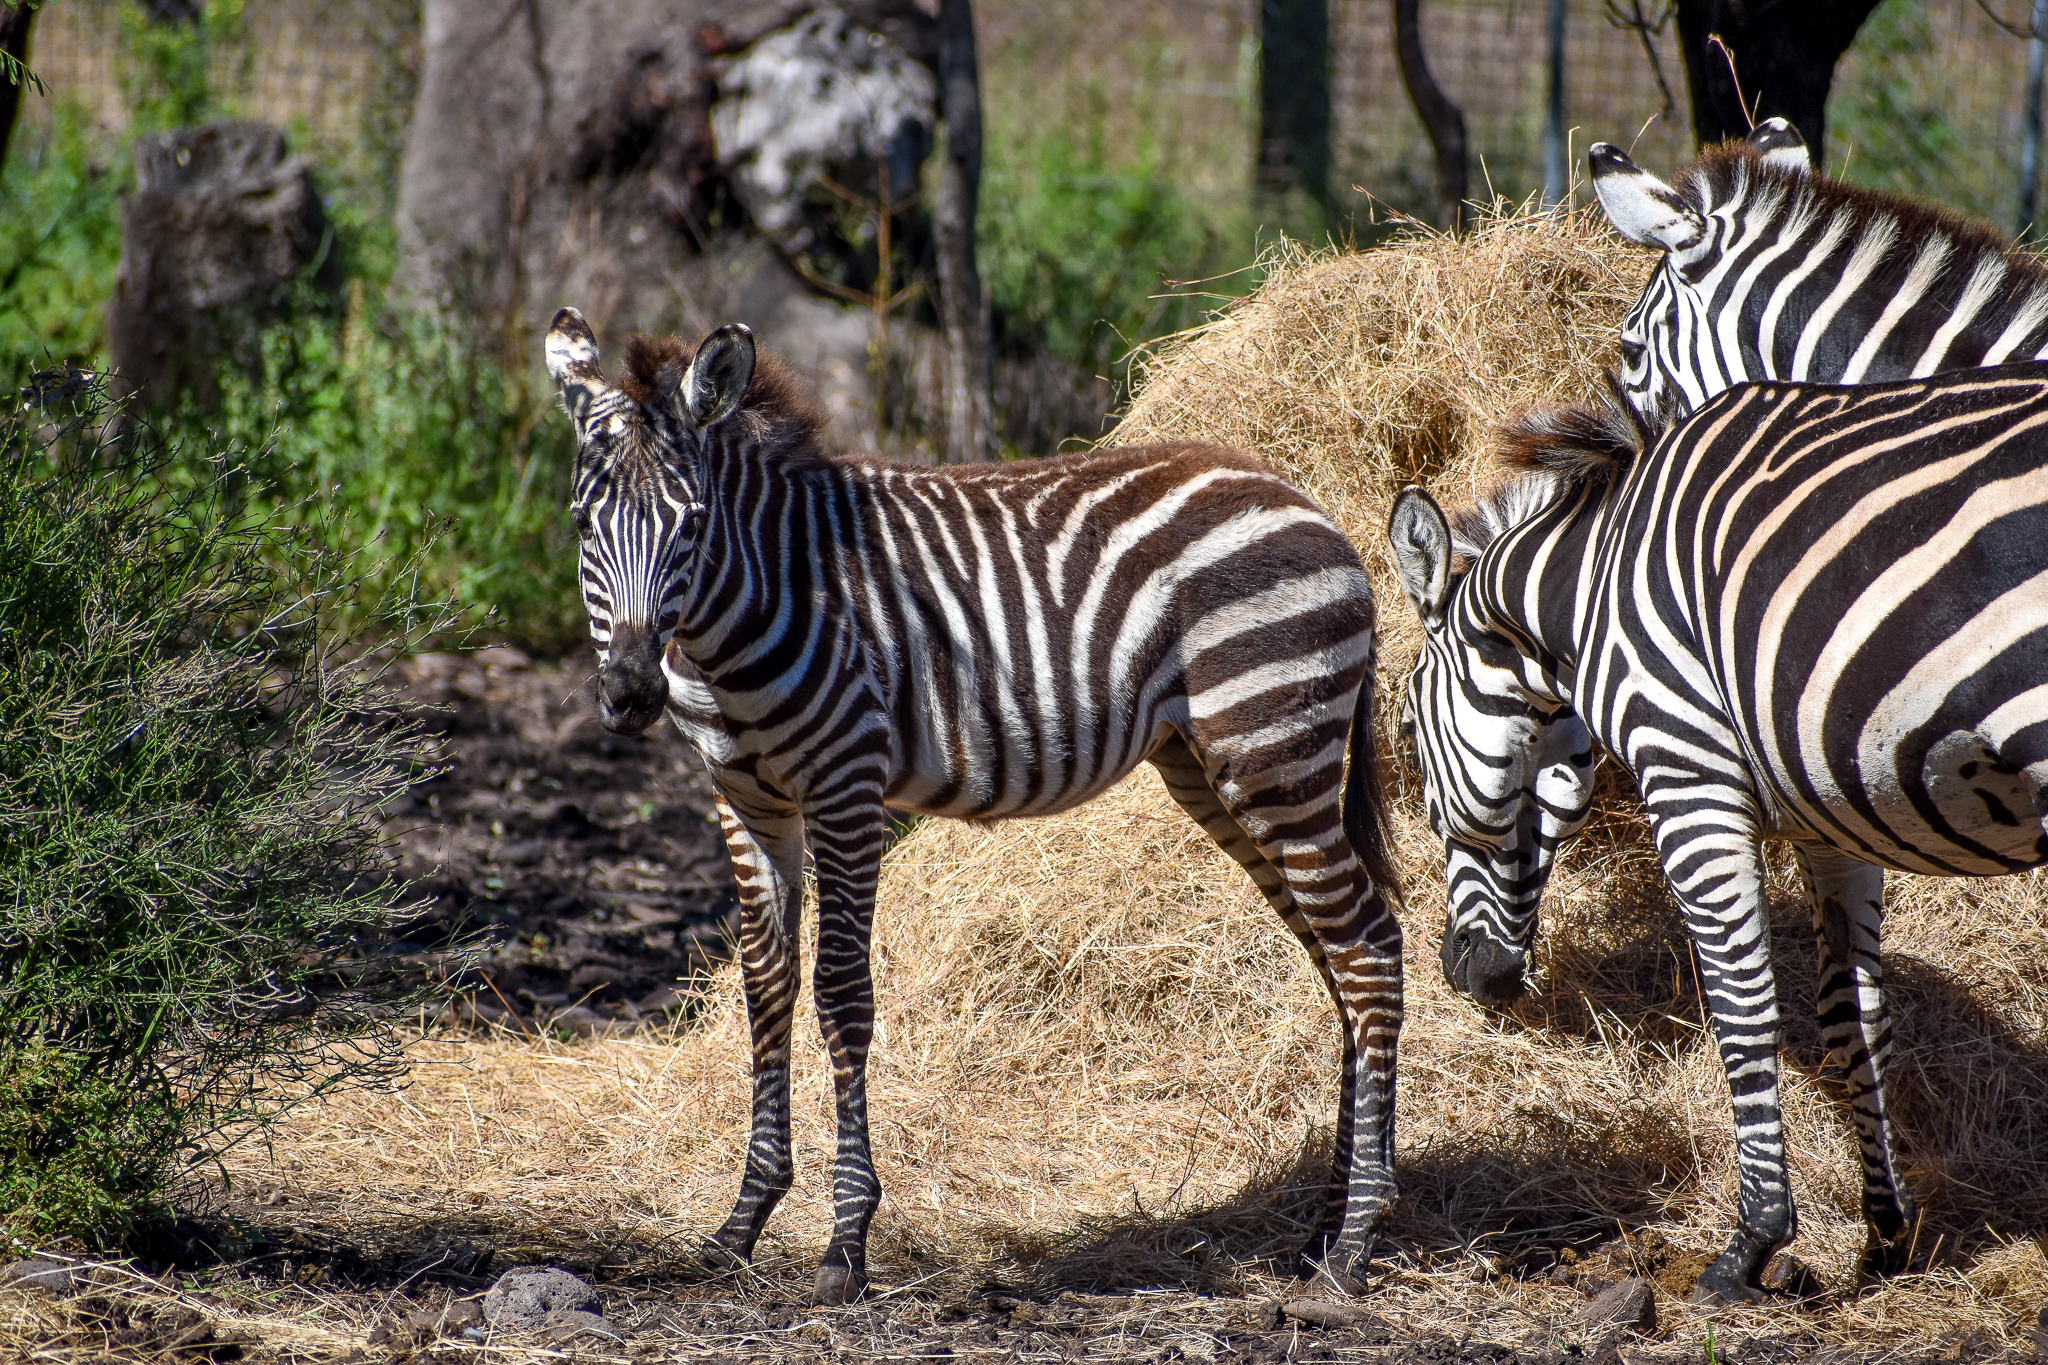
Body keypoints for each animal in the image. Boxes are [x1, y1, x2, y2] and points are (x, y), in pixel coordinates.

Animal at [543, 308, 1406, 1304]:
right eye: (582, 524)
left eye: (689, 526)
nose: (630, 694)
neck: (761, 597)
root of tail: (1311, 504)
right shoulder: (746, 800)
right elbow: (768, 986)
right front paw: (742, 1221)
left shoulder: (846, 785)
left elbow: (842, 991)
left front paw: (845, 1241)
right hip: (1220, 770)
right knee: (1341, 960)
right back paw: (1326, 1227)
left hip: (1273, 748)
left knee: (1370, 952)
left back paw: (1353, 1246)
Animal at [1386, 364, 2048, 1303]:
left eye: (1408, 732)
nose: (1463, 972)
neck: (1584, 591)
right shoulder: (1828, 811)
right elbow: (1852, 1014)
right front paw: (1885, 1236)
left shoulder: (1688, 770)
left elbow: (1742, 1004)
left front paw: (1752, 1245)